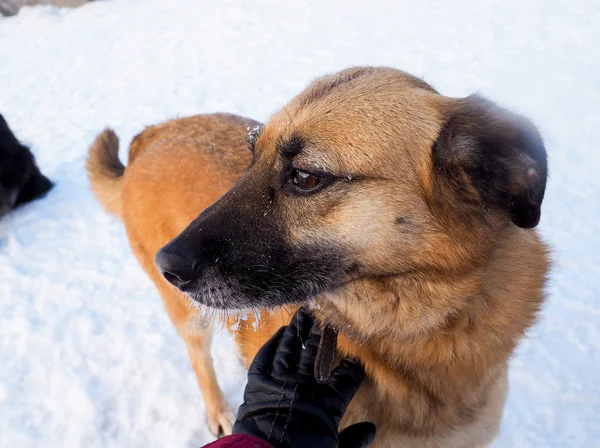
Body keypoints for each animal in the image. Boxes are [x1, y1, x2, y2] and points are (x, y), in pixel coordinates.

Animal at [86, 67, 552, 448]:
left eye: (306, 177)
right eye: (252, 157)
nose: (168, 264)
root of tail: (152, 135)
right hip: (191, 318)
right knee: (200, 359)